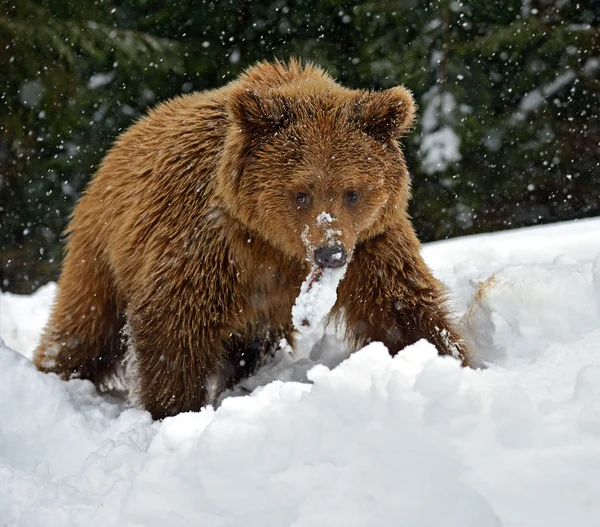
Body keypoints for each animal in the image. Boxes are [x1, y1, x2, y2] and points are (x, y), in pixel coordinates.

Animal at [34, 58, 474, 420]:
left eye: (353, 191)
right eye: (301, 193)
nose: (330, 252)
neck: (277, 246)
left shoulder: (371, 243)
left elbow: (401, 308)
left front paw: (447, 363)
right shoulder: (210, 240)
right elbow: (173, 320)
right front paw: (174, 408)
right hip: (102, 249)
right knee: (86, 325)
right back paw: (54, 372)